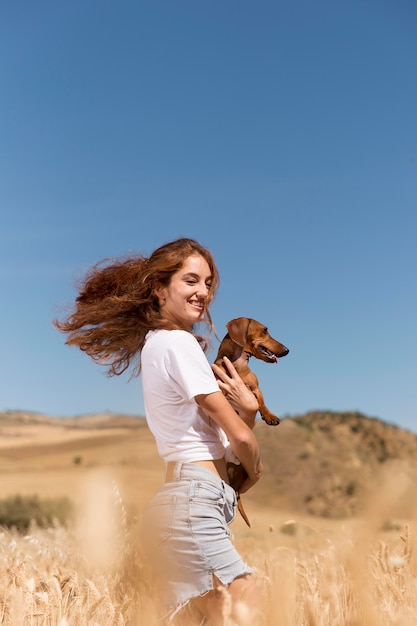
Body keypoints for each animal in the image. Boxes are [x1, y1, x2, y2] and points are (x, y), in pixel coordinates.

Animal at [214, 314, 286, 524]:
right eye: (265, 330)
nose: (287, 350)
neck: (239, 365)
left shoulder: (255, 389)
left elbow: (261, 400)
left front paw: (270, 416)